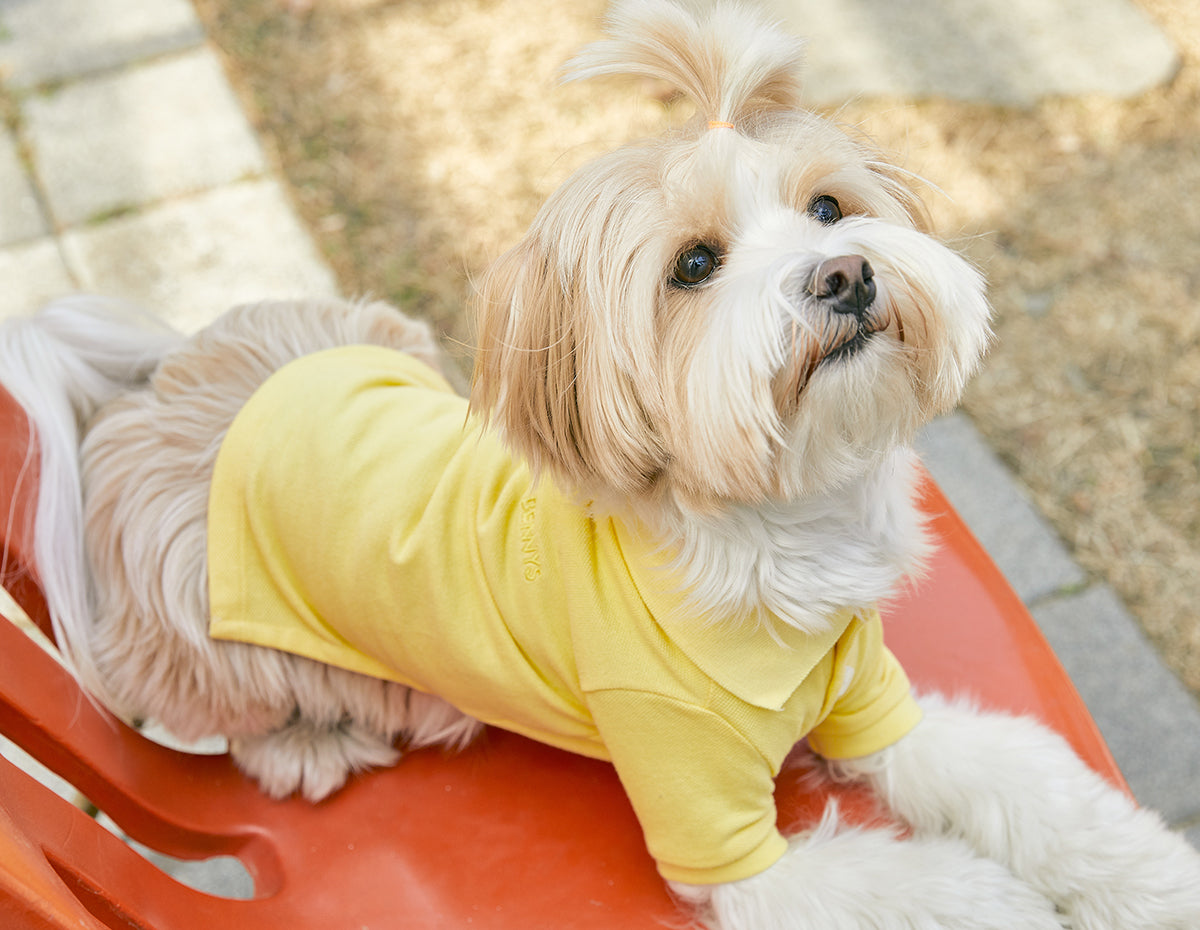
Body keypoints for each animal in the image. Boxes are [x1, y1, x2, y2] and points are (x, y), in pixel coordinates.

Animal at [2, 3, 1200, 926]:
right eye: (695, 266)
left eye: (828, 207)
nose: (845, 274)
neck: (776, 536)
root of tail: (165, 383)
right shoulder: (717, 830)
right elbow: (908, 889)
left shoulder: (878, 704)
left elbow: (1024, 781)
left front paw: (1146, 875)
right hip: (210, 636)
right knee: (240, 713)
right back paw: (317, 742)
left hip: (378, 334)